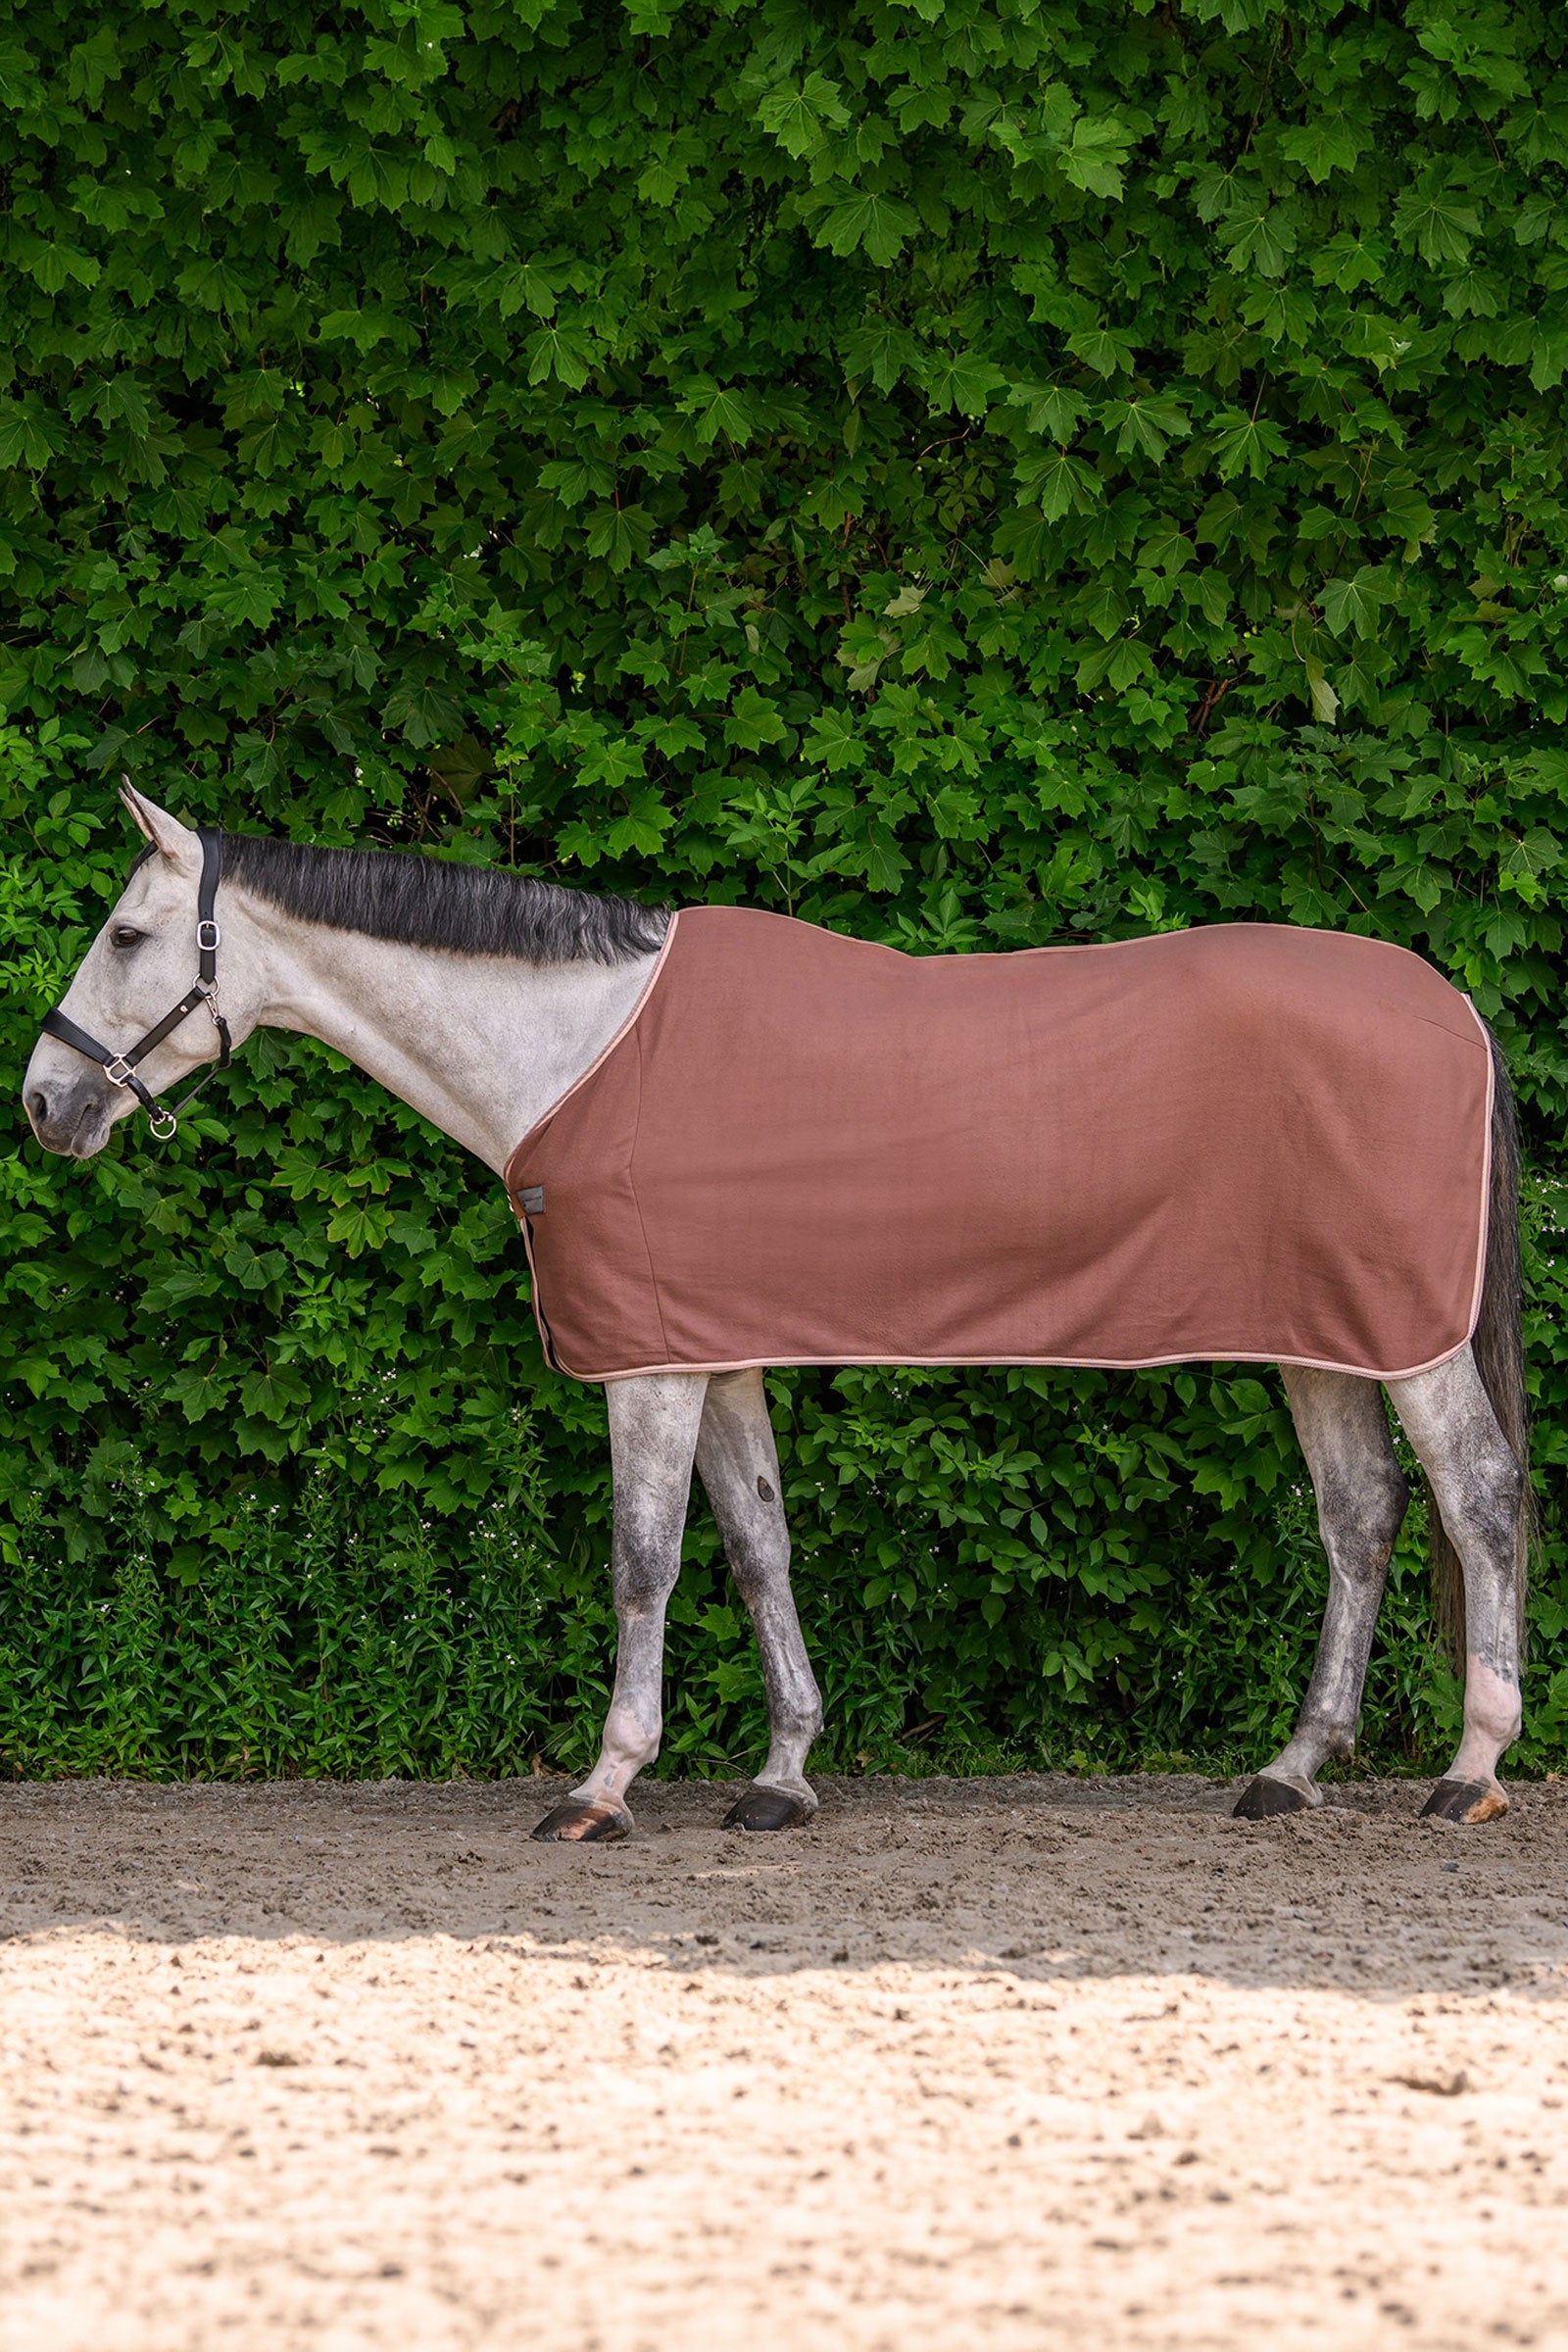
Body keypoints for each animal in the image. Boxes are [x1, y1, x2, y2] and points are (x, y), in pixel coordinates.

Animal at [22, 787, 1530, 1839]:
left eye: (126, 933)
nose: (47, 1101)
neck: (579, 1048)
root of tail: (1454, 1002)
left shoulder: (649, 1365)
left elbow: (643, 1563)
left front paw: (602, 1786)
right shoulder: (715, 1348)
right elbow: (758, 1548)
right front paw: (784, 1775)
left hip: (1409, 1335)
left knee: (1479, 1495)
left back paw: (1470, 1770)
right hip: (1319, 1336)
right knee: (1359, 1515)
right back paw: (1292, 1769)